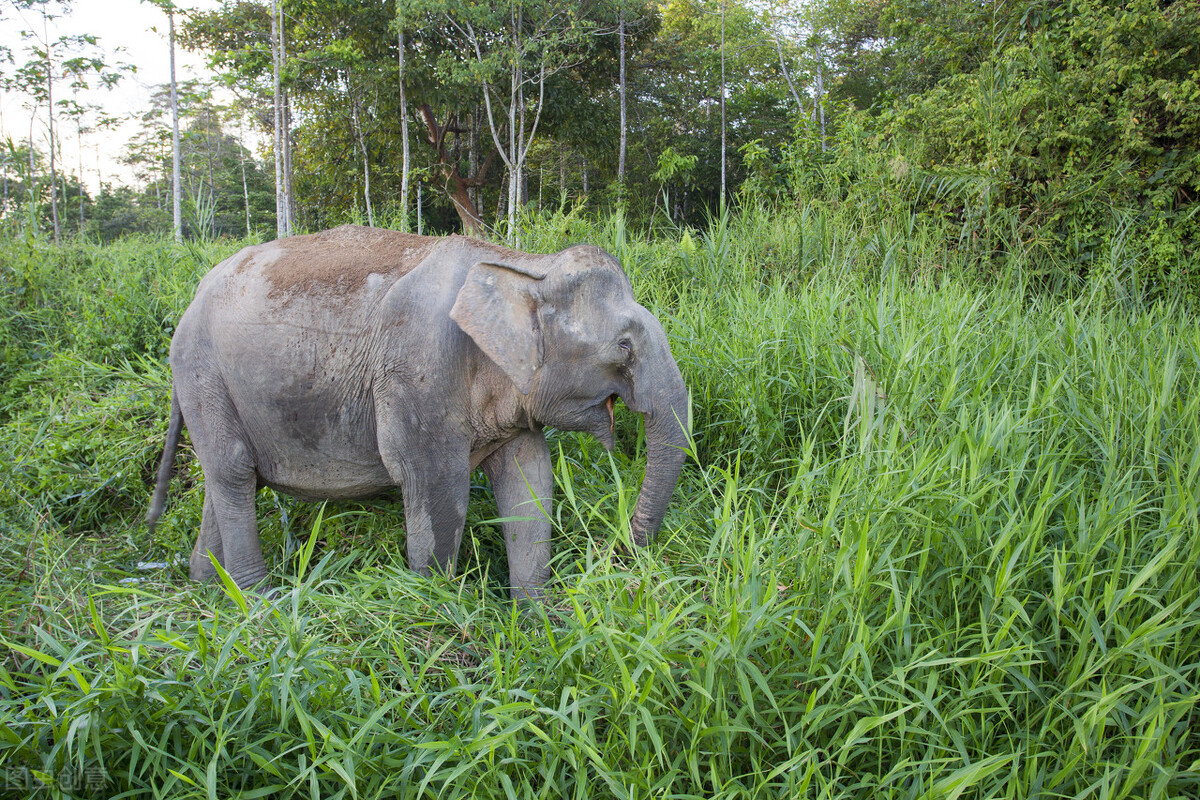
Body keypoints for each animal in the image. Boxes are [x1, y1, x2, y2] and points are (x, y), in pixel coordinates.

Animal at [147, 221, 696, 597]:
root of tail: (191, 300)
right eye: (623, 347)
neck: (522, 264)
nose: (618, 556)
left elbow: (530, 481)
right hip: (203, 373)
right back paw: (259, 603)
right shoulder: (416, 373)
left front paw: (535, 621)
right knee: (234, 472)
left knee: (226, 480)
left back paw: (206, 590)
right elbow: (434, 483)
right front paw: (435, 606)